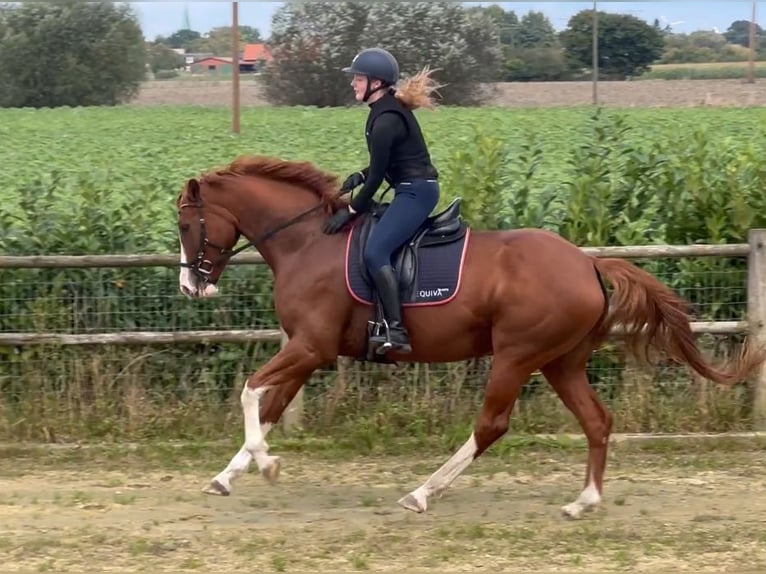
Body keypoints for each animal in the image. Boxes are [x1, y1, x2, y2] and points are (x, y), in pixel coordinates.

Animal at [177, 155, 764, 520]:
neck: (306, 241)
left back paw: (422, 492)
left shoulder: (311, 348)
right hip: (561, 361)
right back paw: (584, 501)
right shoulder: (306, 350)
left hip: (516, 356)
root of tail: (588, 264)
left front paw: (267, 465)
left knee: (491, 426)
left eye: (186, 225)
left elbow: (251, 393)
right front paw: (228, 476)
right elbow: (271, 406)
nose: (189, 285)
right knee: (597, 421)